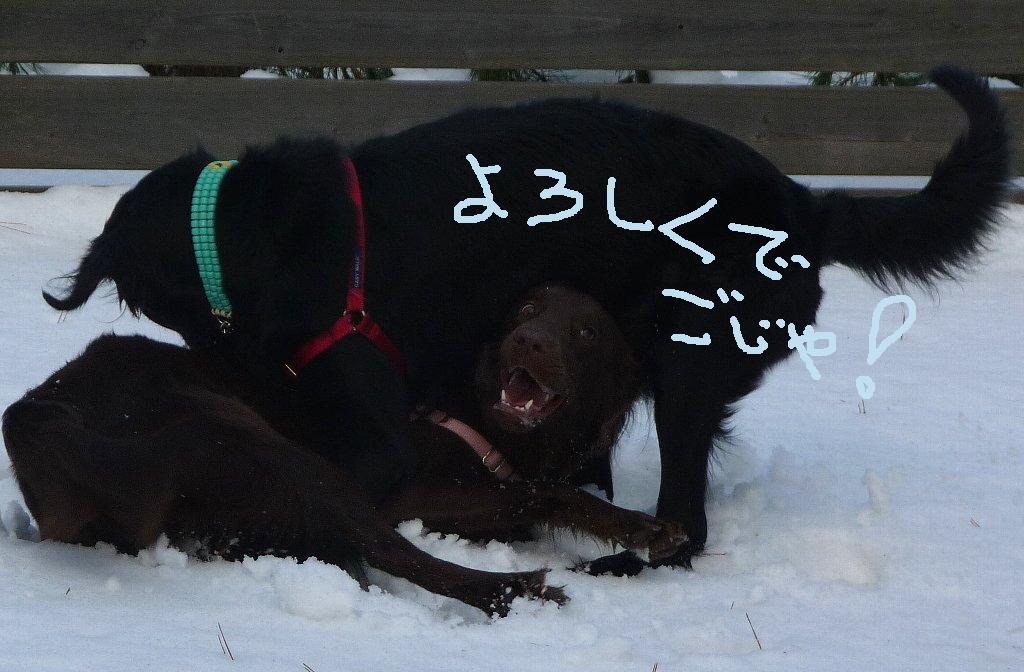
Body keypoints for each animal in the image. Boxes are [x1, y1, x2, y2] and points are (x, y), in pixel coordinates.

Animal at [3, 285, 686, 612]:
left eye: (586, 331)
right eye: (526, 310)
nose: (529, 343)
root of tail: (41, 413)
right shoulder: (408, 493)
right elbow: (541, 493)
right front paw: (643, 527)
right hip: (271, 448)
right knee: (394, 553)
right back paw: (523, 591)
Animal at [40, 65, 1012, 570]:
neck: (239, 233)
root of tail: (810, 205)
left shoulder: (377, 438)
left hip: (685, 358)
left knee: (685, 526)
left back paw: (622, 561)